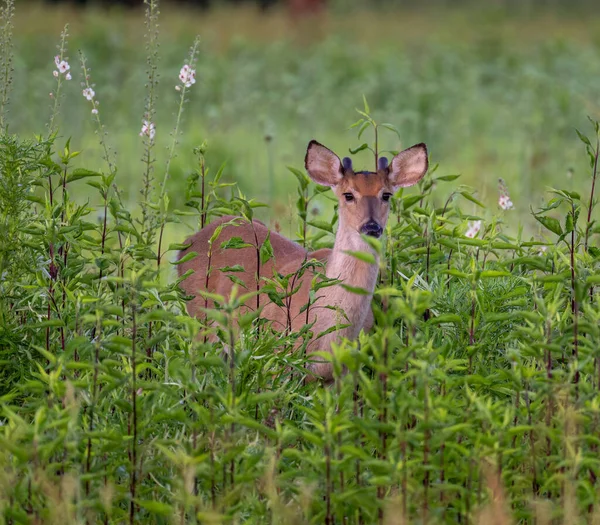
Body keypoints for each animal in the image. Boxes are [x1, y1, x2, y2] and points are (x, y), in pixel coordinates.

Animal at [176, 140, 428, 380]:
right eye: (348, 194)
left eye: (386, 194)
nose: (372, 227)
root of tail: (187, 243)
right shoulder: (277, 360)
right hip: (199, 321)